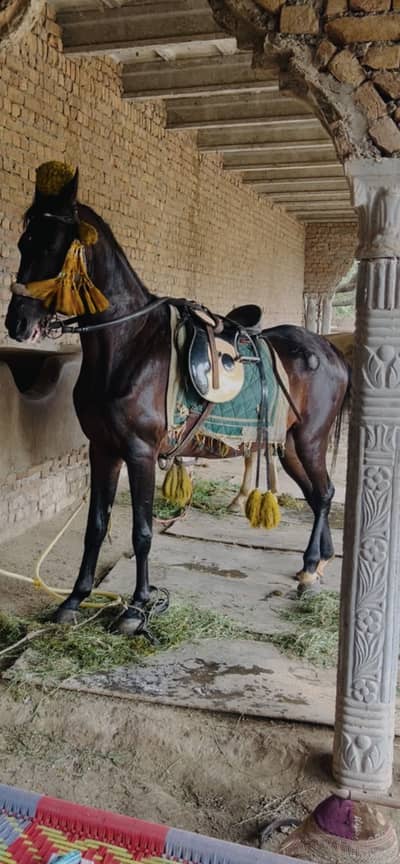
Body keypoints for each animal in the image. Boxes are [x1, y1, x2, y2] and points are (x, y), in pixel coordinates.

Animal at [5, 168, 350, 634]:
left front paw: (136, 609)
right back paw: (315, 566)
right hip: (291, 445)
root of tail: (330, 351)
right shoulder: (103, 450)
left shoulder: (140, 453)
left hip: (310, 441)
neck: (127, 346)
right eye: (24, 242)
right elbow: (96, 526)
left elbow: (142, 531)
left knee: (326, 493)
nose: (17, 323)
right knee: (318, 495)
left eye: (53, 245)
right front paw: (74, 600)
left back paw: (312, 566)